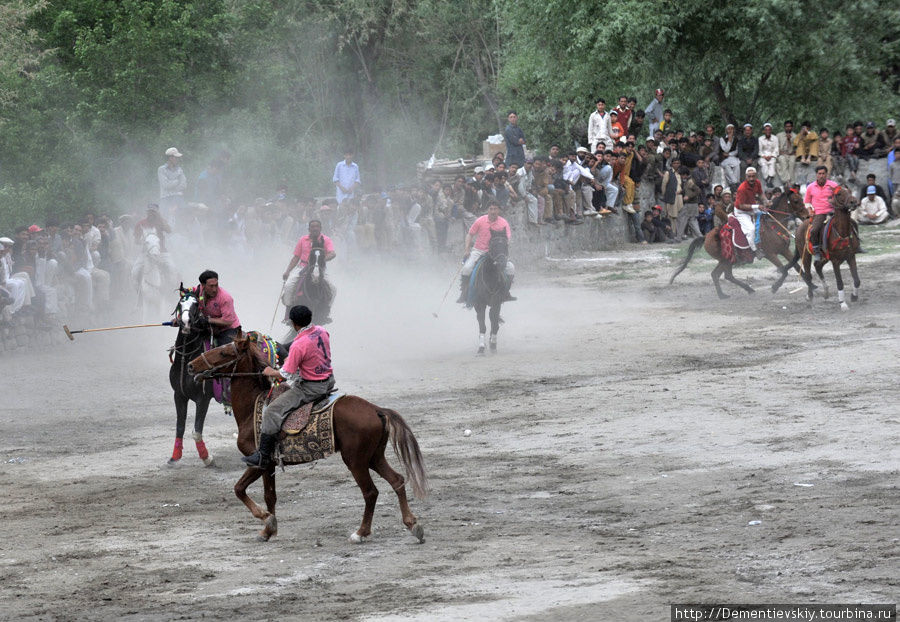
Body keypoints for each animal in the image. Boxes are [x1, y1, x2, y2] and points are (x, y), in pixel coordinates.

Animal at [166, 288, 215, 468]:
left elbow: (196, 430)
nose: (186, 322)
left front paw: (207, 458)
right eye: (180, 304)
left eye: (195, 304)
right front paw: (174, 457)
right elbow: (180, 426)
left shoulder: (203, 398)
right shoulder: (179, 395)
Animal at [185, 334, 428, 544]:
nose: (191, 366)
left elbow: (240, 489)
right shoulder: (270, 466)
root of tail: (377, 410)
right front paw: (268, 530)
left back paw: (360, 533)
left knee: (370, 492)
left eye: (224, 353)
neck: (253, 406)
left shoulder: (260, 462)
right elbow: (269, 496)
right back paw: (412, 524)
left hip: (356, 461)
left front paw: (266, 520)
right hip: (374, 457)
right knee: (397, 480)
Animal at [668, 190, 808, 300]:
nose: (807, 215)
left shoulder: (785, 251)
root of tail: (706, 236)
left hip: (725, 260)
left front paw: (810, 286)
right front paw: (774, 287)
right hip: (726, 260)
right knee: (724, 275)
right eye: (796, 201)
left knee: (718, 275)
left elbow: (797, 268)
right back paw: (739, 291)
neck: (772, 225)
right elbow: (784, 271)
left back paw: (728, 293)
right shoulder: (770, 254)